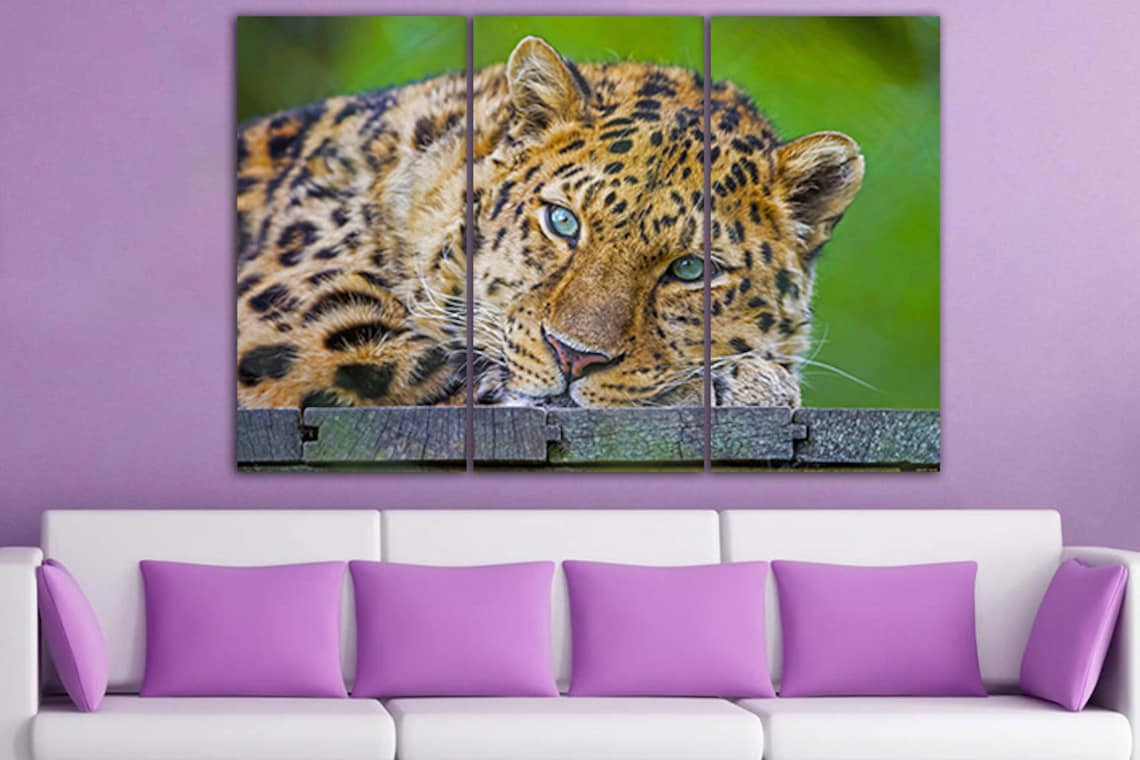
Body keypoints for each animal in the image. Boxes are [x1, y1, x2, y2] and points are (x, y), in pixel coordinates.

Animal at [236, 35, 864, 410]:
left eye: (691, 269)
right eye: (563, 222)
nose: (573, 356)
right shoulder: (291, 324)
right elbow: (437, 370)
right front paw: (740, 385)